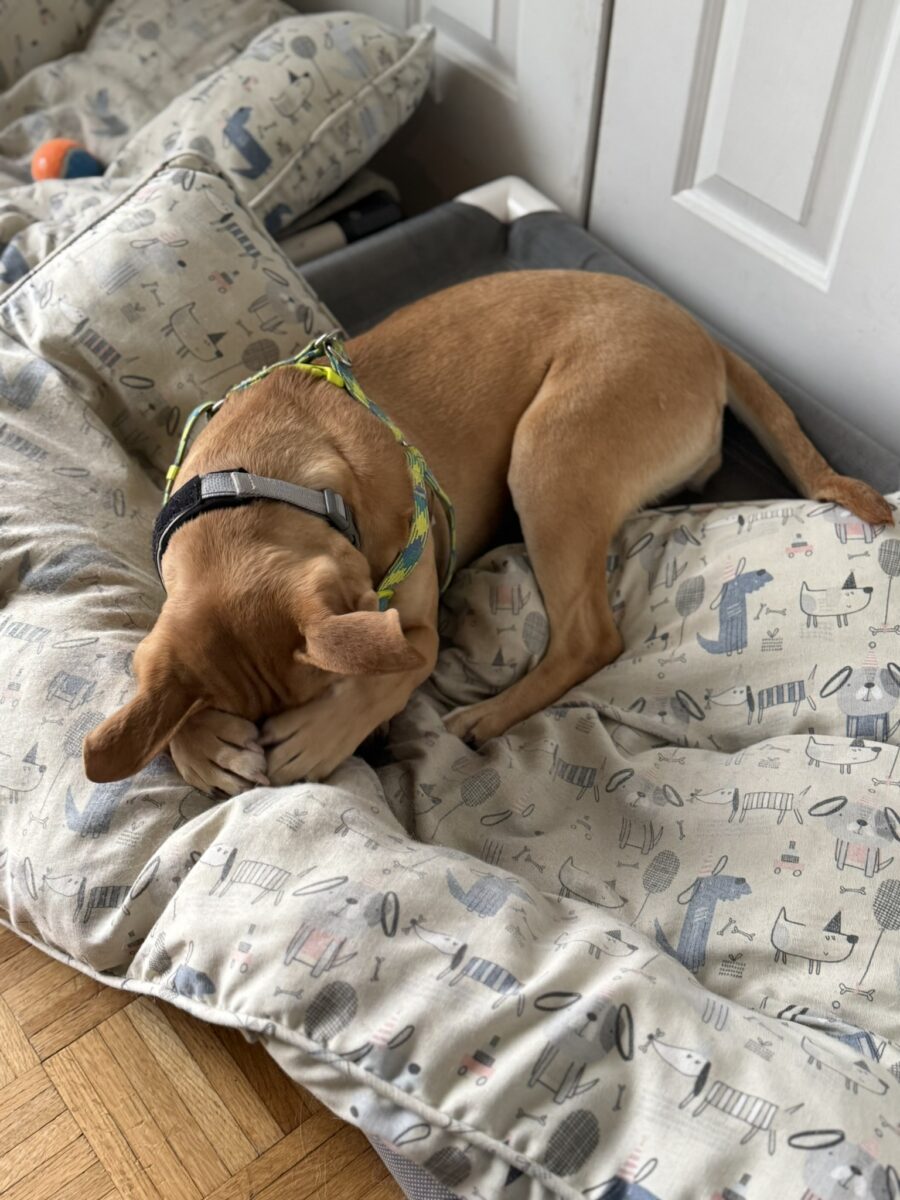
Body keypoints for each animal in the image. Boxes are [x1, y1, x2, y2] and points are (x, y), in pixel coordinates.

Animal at [81, 271, 892, 792]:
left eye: (325, 694)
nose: (379, 758)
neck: (256, 483)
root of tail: (698, 333)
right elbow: (149, 686)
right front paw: (197, 744)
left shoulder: (409, 629)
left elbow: (390, 671)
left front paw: (317, 737)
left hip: (549, 454)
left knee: (589, 639)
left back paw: (484, 717)